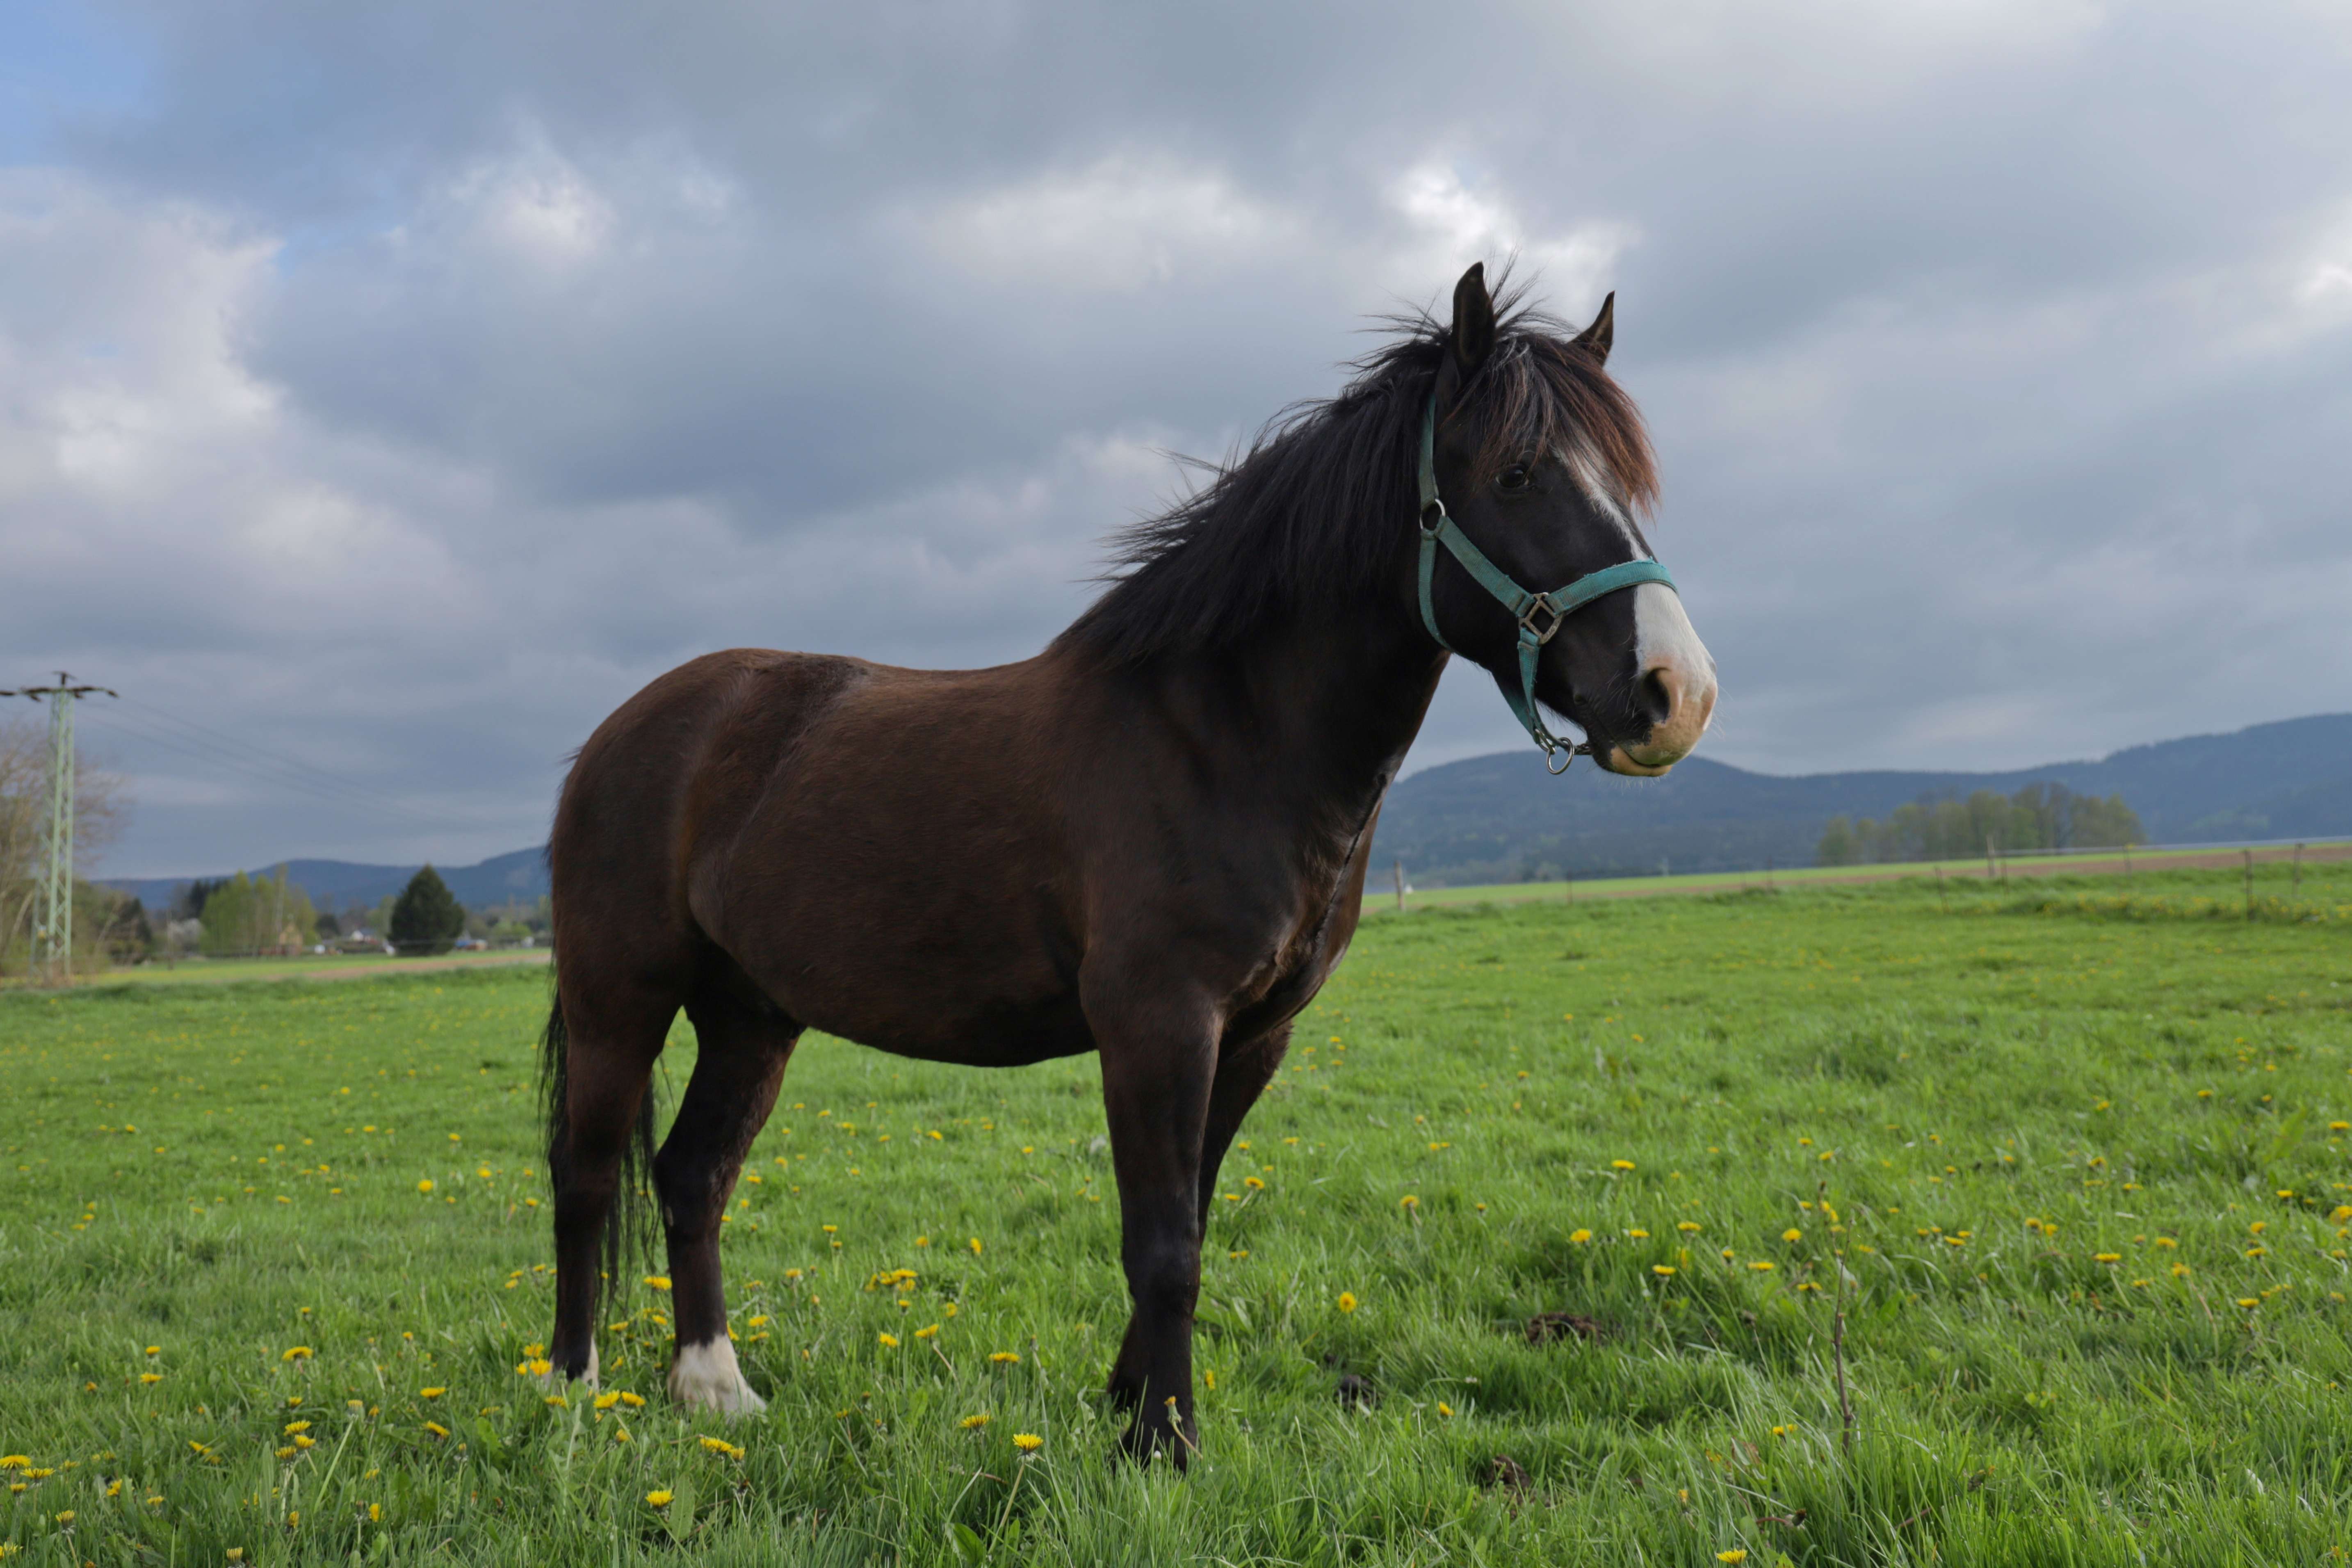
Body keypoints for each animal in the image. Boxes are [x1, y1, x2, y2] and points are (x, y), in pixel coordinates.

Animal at [538, 263, 1712, 1467]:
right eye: (1517, 473)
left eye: (1626, 481)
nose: (1674, 691)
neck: (1222, 736)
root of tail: (626, 730)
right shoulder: (1157, 1023)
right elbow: (1162, 1246)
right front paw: (1165, 1444)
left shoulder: (1252, 1036)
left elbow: (1186, 1219)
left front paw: (1130, 1408)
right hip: (620, 998)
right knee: (585, 1175)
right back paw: (575, 1391)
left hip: (751, 1014)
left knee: (692, 1173)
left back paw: (713, 1388)